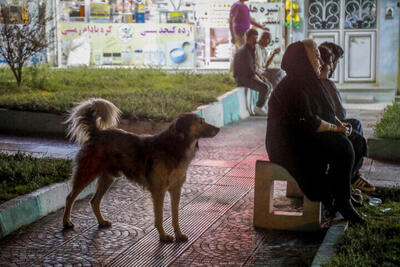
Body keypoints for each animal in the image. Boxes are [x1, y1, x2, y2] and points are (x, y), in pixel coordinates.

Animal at [62, 98, 219, 243]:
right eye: (201, 122)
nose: (218, 129)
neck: (176, 146)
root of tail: (97, 132)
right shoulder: (158, 190)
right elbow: (159, 216)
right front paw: (163, 236)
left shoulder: (176, 189)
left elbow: (175, 215)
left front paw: (179, 234)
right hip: (87, 172)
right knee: (70, 197)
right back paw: (66, 222)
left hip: (108, 178)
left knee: (94, 201)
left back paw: (101, 221)